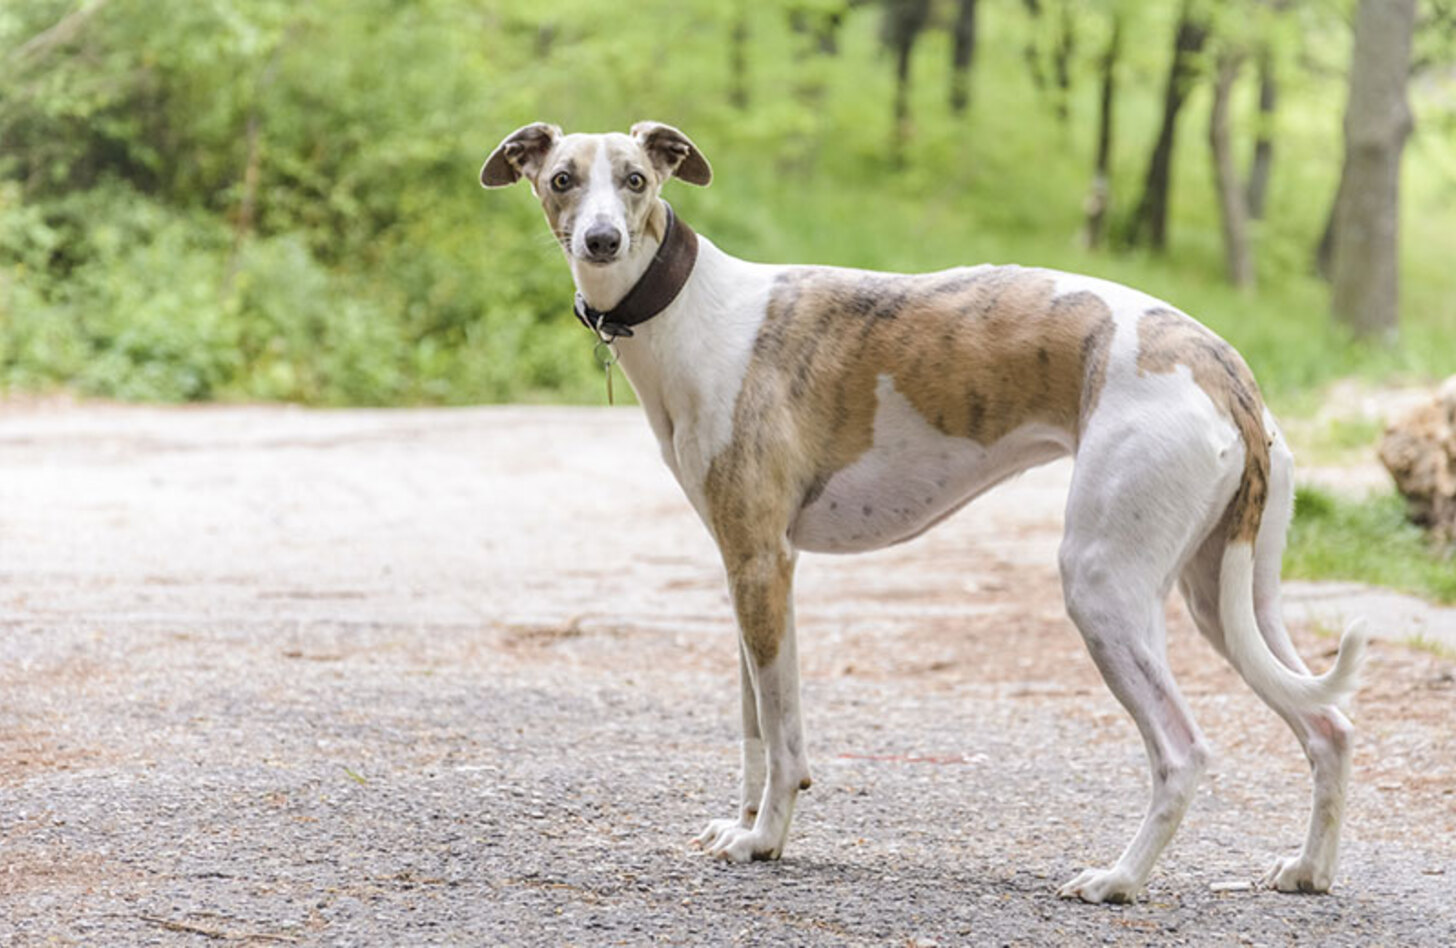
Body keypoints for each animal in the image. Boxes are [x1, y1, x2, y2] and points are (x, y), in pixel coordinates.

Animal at [477, 120, 1362, 902]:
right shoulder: (749, 564)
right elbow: (756, 724)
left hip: (1104, 584)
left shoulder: (761, 562)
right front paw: (744, 827)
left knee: (1184, 750)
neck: (693, 312)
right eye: (561, 179)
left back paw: (1119, 880)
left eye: (635, 180)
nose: (600, 243)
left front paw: (765, 839)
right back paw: (1308, 870)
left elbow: (781, 729)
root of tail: (1223, 366)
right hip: (1226, 592)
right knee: (1329, 726)